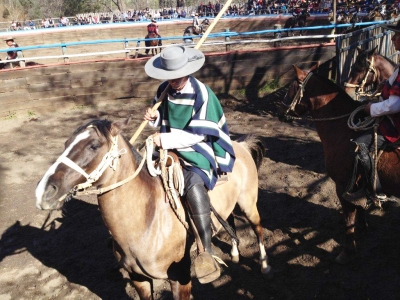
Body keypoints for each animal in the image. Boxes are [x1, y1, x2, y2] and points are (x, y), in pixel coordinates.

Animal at [35, 118, 272, 298]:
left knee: (258, 229)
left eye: (94, 145)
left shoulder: (180, 277)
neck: (148, 223)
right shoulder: (138, 279)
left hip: (248, 204)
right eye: (66, 143)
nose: (43, 192)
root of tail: (240, 146)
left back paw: (264, 266)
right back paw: (234, 254)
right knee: (230, 221)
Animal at [280, 65, 400, 264]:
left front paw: (347, 251)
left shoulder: (343, 185)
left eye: (291, 86)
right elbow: (358, 209)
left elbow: (348, 219)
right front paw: (363, 228)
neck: (344, 130)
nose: (282, 111)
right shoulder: (357, 185)